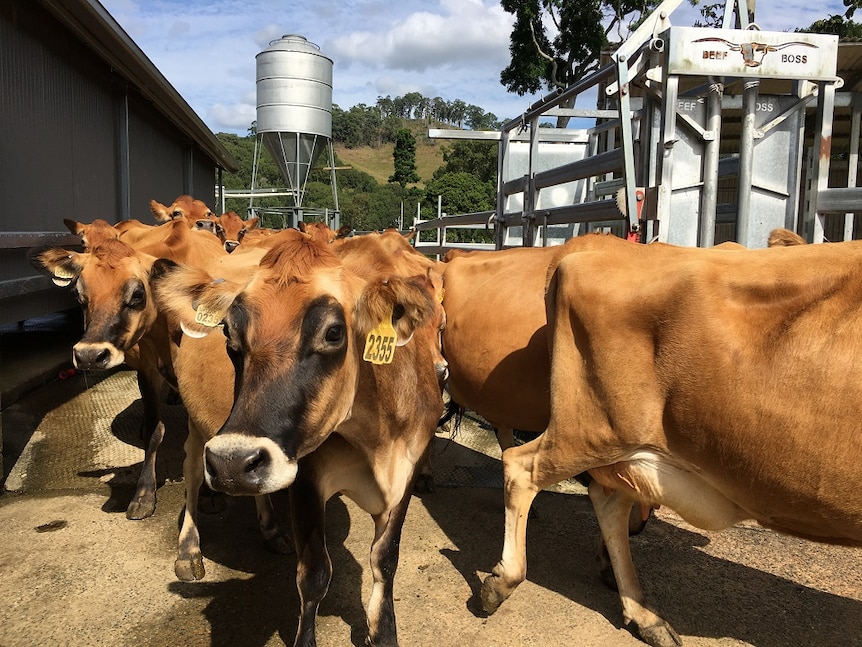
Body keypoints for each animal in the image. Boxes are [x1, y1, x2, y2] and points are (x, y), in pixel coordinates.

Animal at [150, 230, 446, 644]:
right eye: (228, 332)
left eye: (334, 333)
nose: (231, 462)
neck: (379, 440)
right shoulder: (306, 478)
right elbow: (315, 576)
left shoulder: (408, 470)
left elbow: (386, 559)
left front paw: (384, 632)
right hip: (199, 422)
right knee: (191, 468)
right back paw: (189, 553)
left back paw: (272, 531)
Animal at [482, 233, 862, 647]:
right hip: (590, 429)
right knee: (521, 466)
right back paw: (501, 583)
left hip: (622, 444)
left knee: (610, 502)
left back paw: (644, 614)